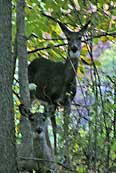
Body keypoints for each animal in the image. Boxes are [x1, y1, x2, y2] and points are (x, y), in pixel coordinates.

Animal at [28, 14, 90, 153]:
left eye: (80, 37)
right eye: (68, 38)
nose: (74, 48)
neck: (64, 81)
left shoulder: (68, 102)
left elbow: (66, 129)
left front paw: (66, 155)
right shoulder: (52, 99)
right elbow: (56, 129)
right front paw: (57, 154)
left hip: (43, 101)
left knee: (44, 124)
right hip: (32, 94)